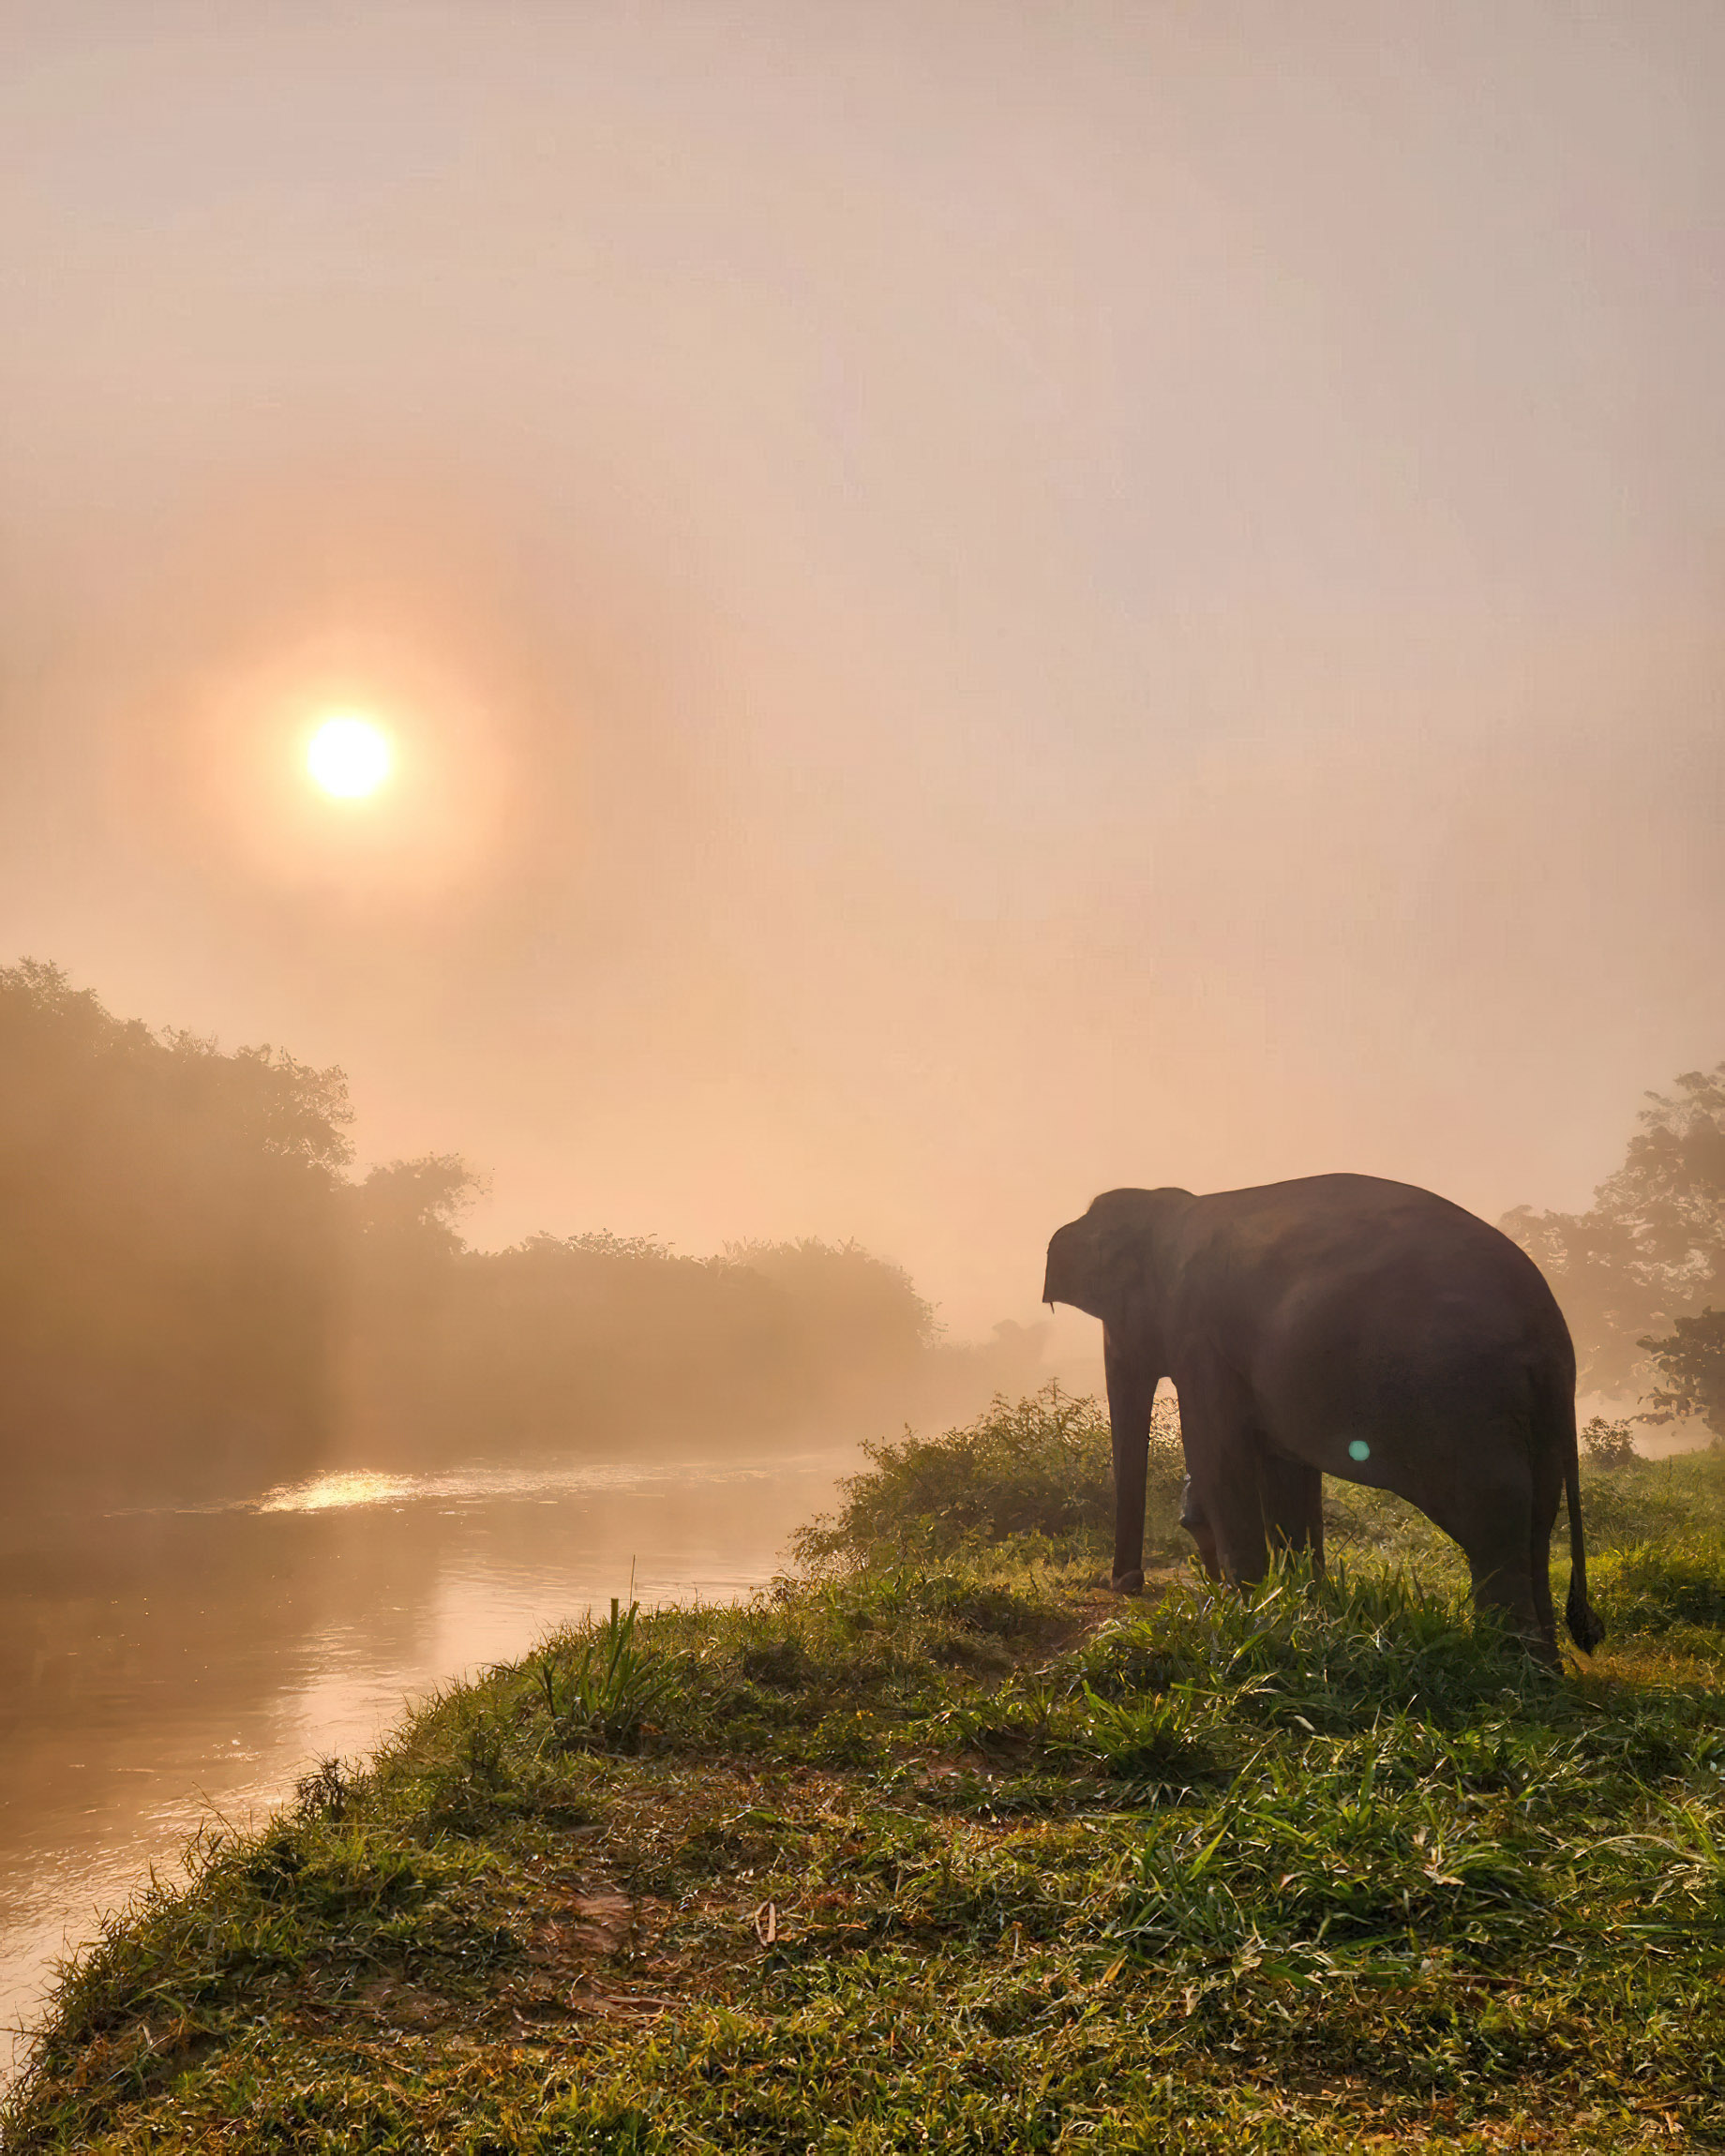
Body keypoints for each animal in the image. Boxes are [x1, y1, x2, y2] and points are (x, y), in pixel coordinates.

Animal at [1043, 1174, 1604, 1664]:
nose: (1126, 1585)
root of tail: (1551, 1330)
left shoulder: (1200, 1340)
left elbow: (1215, 1451)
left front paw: (1246, 1613)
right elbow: (1284, 1473)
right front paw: (1298, 1607)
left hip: (1466, 1404)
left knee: (1494, 1515)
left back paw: (1508, 1668)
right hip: (1534, 1418)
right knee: (1537, 1518)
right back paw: (1546, 1668)